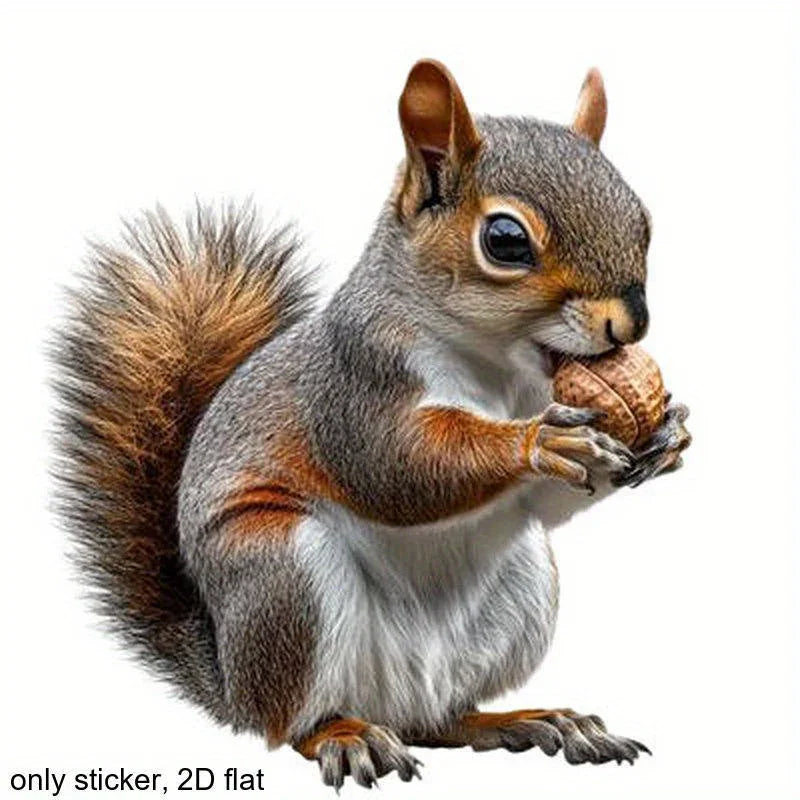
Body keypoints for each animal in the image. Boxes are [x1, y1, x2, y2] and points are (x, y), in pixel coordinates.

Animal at [52, 60, 691, 789]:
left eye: (643, 220)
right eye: (505, 241)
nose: (633, 323)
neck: (499, 369)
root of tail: (231, 681)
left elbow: (546, 503)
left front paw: (667, 434)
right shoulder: (355, 383)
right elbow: (395, 468)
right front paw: (538, 441)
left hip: (522, 589)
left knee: (444, 720)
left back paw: (532, 720)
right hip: (281, 573)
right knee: (290, 725)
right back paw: (346, 736)